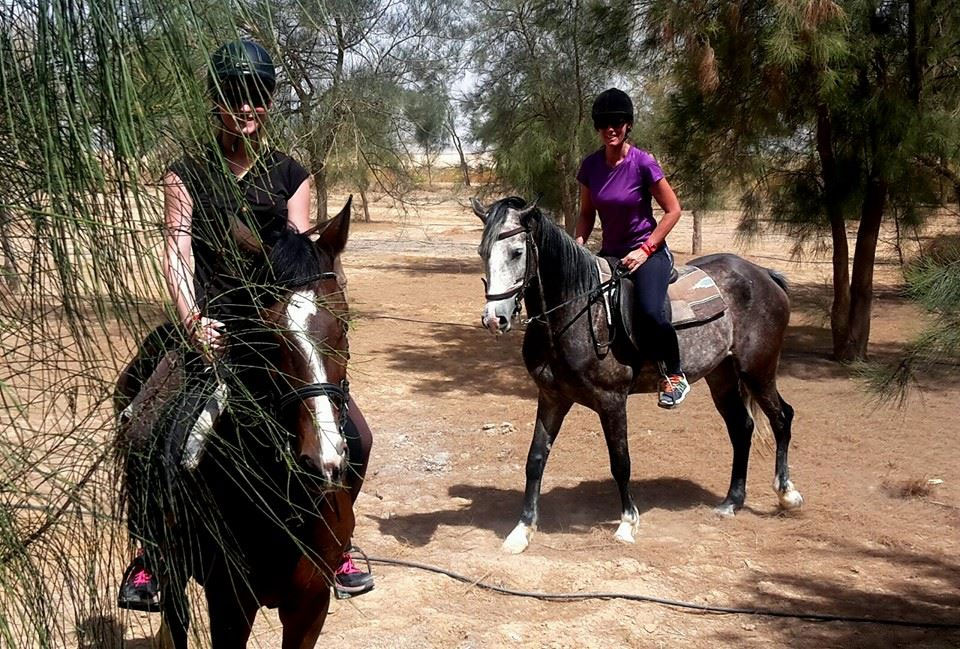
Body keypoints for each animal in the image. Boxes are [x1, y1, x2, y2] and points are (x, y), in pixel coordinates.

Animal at [473, 196, 803, 554]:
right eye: (482, 252)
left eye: (517, 251)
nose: (494, 319)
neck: (577, 311)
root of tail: (763, 274)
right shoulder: (552, 398)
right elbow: (535, 460)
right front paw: (521, 531)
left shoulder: (612, 401)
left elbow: (621, 462)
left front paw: (627, 524)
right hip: (723, 376)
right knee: (742, 428)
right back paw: (732, 501)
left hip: (758, 370)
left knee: (782, 418)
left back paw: (787, 494)